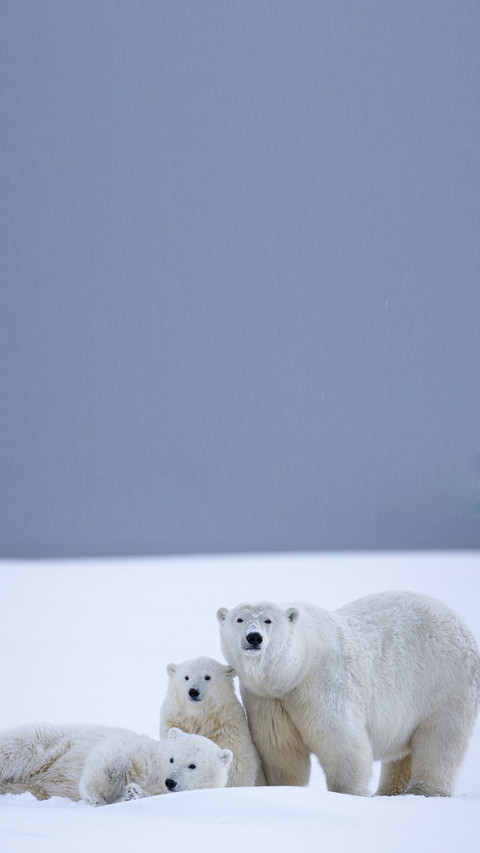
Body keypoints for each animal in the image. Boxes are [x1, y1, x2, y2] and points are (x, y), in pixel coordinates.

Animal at [0, 722, 232, 805]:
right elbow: (113, 758)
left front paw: (131, 793)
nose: (171, 782)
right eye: (172, 759)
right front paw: (95, 796)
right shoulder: (139, 752)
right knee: (18, 747)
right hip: (51, 744)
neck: (155, 776)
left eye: (192, 765)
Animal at [160, 656, 265, 787]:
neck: (200, 717)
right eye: (186, 677)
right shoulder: (174, 721)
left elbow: (235, 769)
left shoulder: (227, 731)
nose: (193, 691)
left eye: (207, 677)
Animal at [217, 591, 480, 797]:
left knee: (441, 738)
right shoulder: (267, 699)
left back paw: (424, 791)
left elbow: (340, 741)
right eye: (239, 619)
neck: (293, 672)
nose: (254, 637)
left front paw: (348, 793)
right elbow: (281, 750)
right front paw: (285, 788)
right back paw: (389, 791)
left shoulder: (323, 683)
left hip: (444, 682)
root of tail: (459, 622)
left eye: (268, 620)